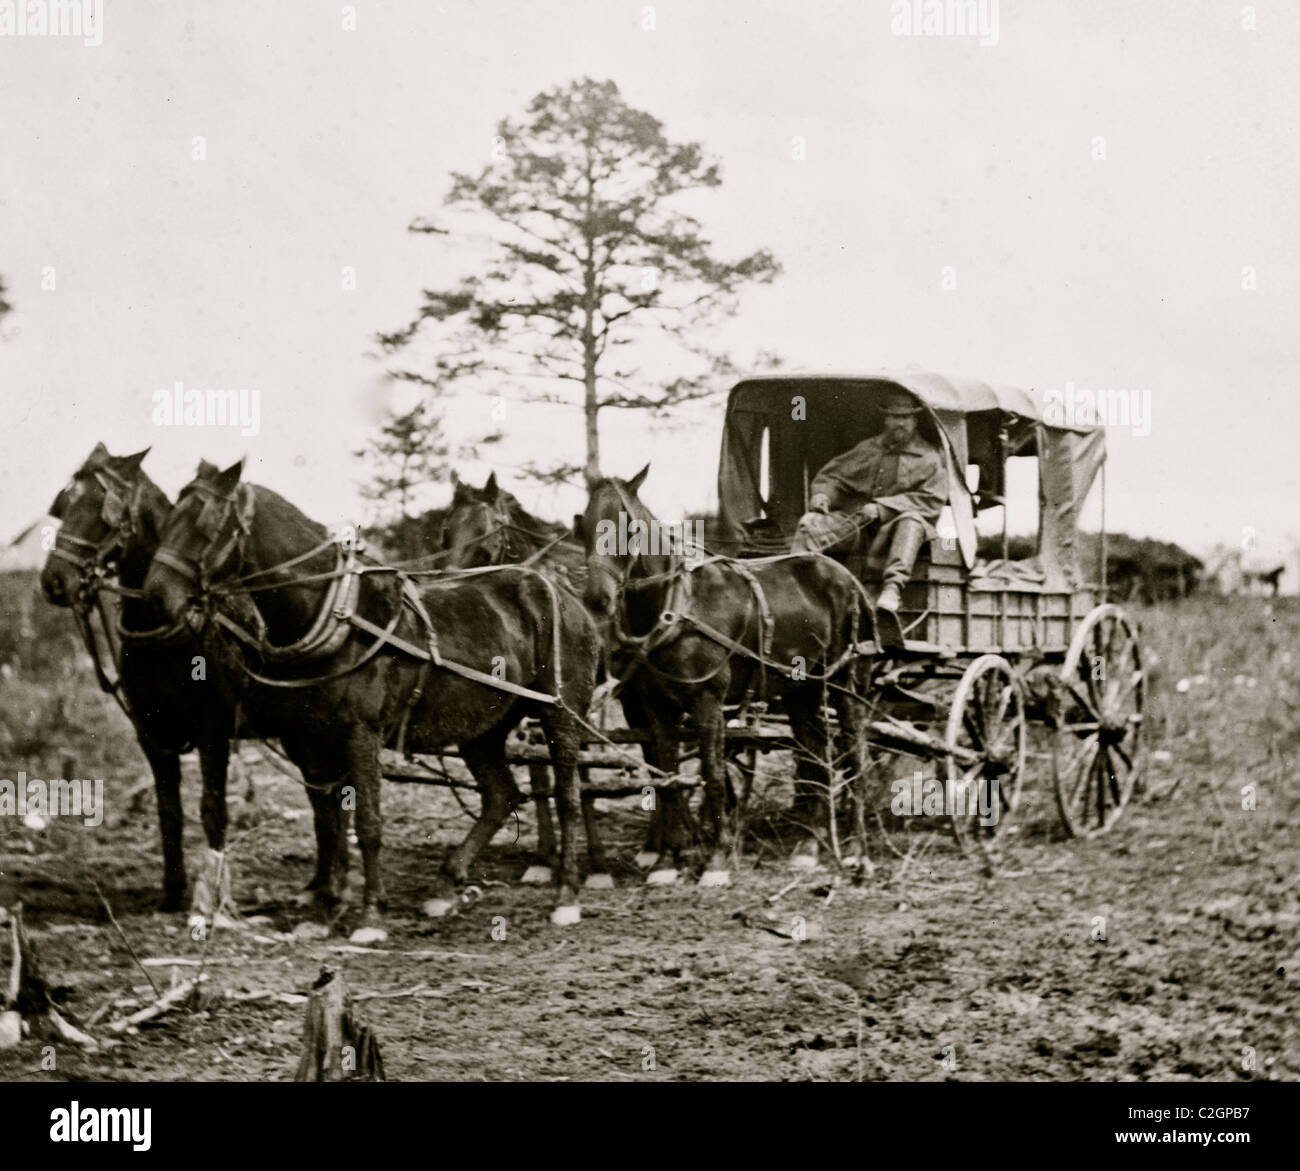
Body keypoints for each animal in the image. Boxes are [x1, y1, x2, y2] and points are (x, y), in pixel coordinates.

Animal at [39, 444, 239, 909]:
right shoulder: (151, 732)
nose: (54, 581)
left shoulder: (214, 729)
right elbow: (169, 810)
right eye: (65, 504)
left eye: (102, 508)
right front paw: (172, 891)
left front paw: (210, 895)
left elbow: (212, 808)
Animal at [142, 457, 598, 925]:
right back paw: (446, 884)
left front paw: (370, 913)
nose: (155, 597)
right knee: (500, 796)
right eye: (169, 516)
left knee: (567, 795)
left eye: (204, 522)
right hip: (482, 726)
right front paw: (327, 902)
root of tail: (561, 592)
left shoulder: (361, 734)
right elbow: (327, 819)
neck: (338, 616)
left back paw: (566, 891)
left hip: (559, 713)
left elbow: (367, 822)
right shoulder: (310, 738)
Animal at [579, 462, 873, 883]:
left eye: (628, 528)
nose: (597, 598)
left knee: (855, 758)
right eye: (584, 526)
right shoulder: (656, 708)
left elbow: (714, 775)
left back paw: (860, 855)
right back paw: (809, 846)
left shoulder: (707, 702)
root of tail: (850, 580)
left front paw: (716, 860)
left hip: (848, 687)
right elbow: (667, 777)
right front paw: (668, 861)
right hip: (802, 690)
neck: (676, 606)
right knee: (816, 755)